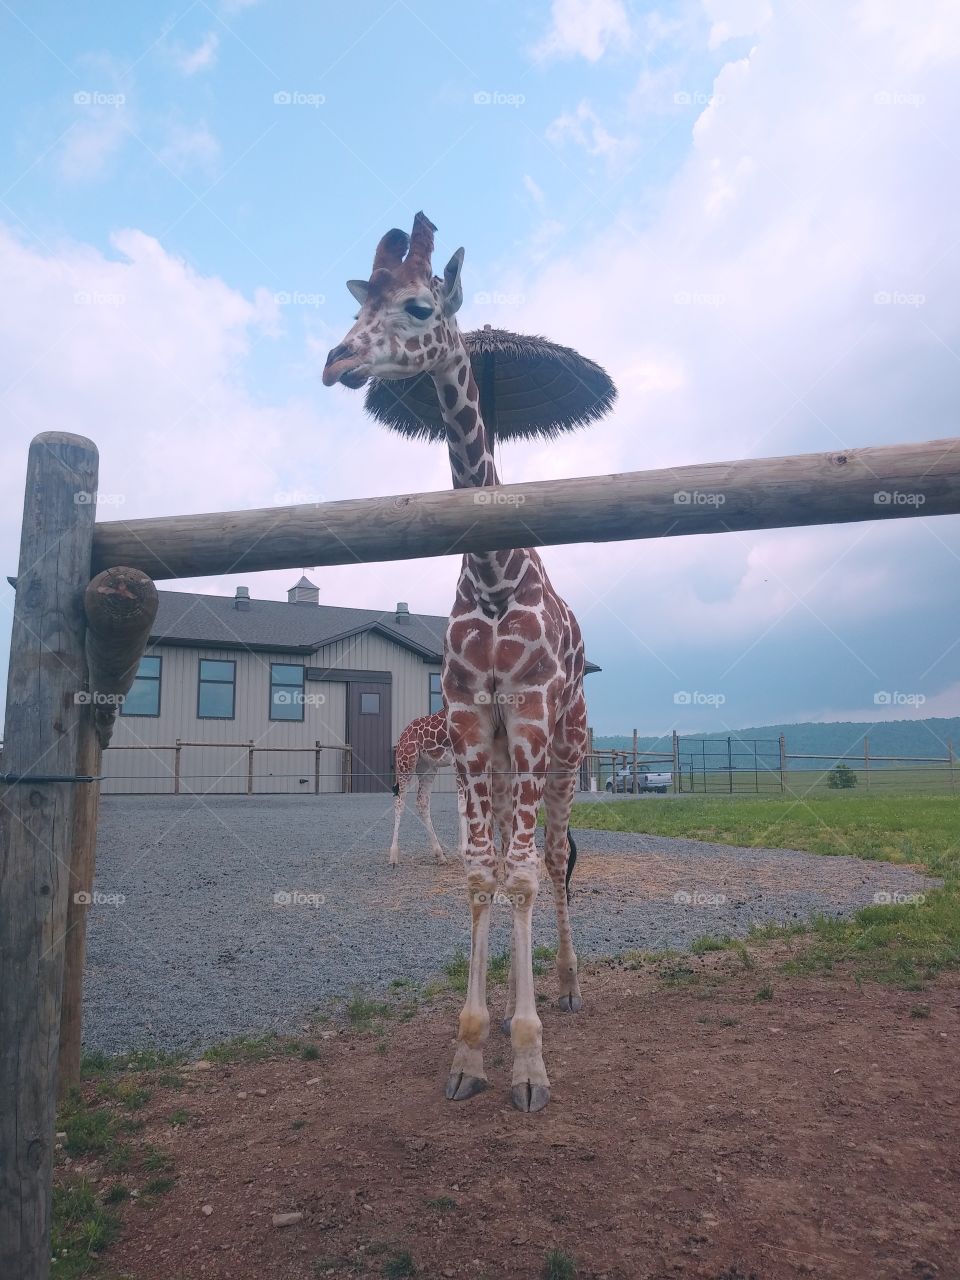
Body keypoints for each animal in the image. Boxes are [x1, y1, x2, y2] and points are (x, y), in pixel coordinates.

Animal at [389, 709, 455, 866]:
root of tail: (401, 737)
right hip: (406, 763)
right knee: (399, 802)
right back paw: (393, 855)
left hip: (427, 767)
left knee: (422, 802)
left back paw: (440, 855)